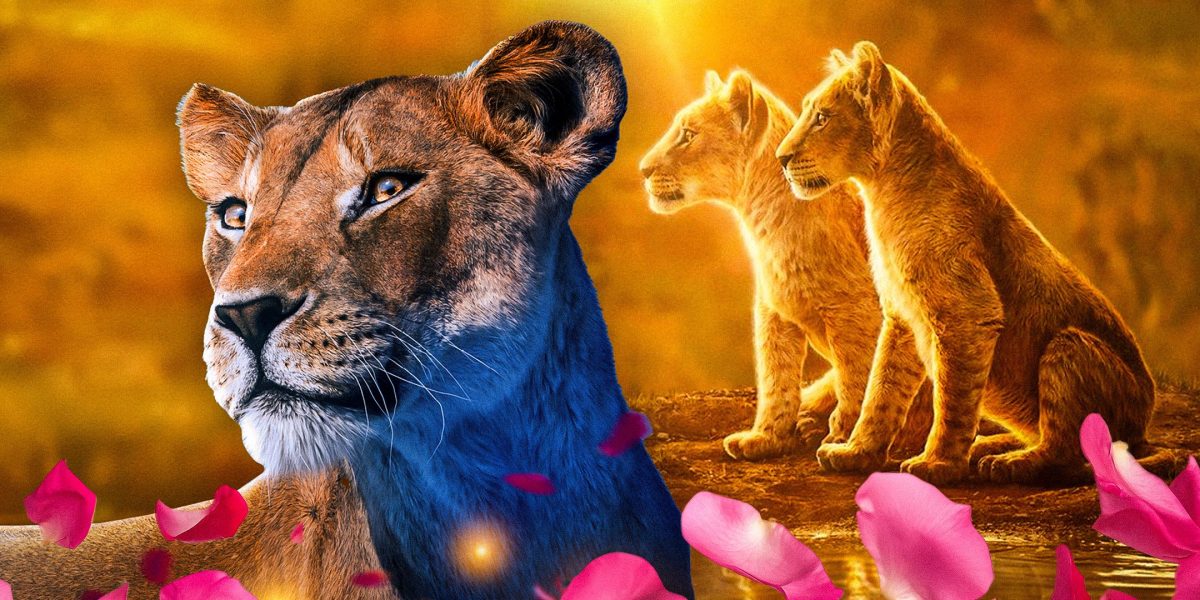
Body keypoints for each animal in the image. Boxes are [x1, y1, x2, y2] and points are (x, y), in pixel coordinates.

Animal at [638, 70, 931, 461]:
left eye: (688, 134)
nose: (643, 170)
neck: (762, 221)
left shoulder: (851, 311)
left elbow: (859, 374)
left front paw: (843, 437)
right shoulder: (772, 312)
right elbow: (776, 376)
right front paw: (765, 438)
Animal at [776, 41, 1168, 485]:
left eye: (822, 118)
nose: (781, 158)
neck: (882, 193)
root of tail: (1143, 425)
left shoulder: (967, 314)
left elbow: (952, 397)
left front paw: (938, 464)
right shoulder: (900, 316)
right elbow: (882, 389)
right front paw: (856, 452)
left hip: (1068, 346)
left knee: (1066, 449)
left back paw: (1011, 462)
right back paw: (993, 445)